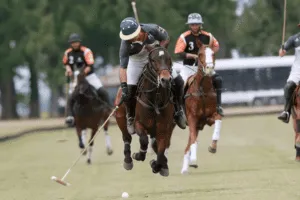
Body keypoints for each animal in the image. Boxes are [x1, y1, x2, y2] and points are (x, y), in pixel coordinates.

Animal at [115, 45, 176, 177]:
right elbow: (143, 140)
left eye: (169, 59)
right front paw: (138, 155)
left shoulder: (163, 129)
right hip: (121, 119)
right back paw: (128, 160)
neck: (155, 100)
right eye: (153, 60)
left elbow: (161, 150)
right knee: (127, 138)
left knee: (155, 145)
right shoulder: (139, 124)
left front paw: (157, 165)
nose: (165, 80)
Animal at [180, 39, 223, 173]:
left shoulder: (208, 118)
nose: (209, 68)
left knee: (188, 145)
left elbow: (218, 121)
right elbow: (194, 139)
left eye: (213, 54)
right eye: (199, 54)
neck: (203, 90)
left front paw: (213, 146)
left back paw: (185, 168)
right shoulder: (192, 118)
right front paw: (193, 160)